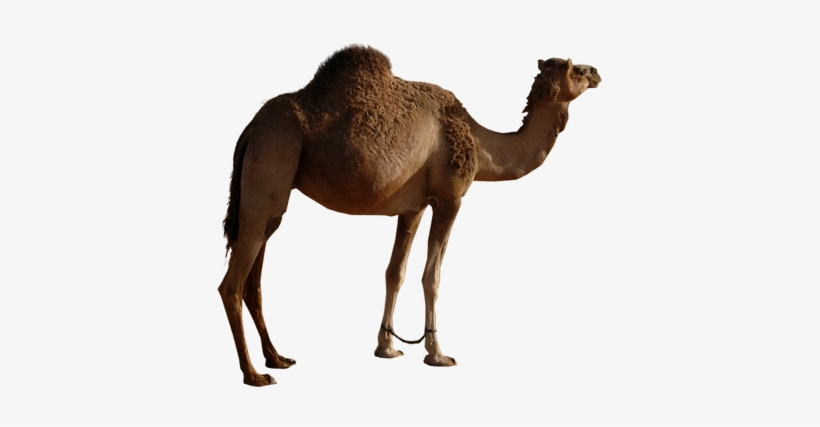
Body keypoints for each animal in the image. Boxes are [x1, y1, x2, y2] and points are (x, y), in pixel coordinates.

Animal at [218, 45, 600, 386]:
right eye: (578, 70)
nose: (597, 72)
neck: (480, 144)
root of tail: (250, 129)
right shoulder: (450, 198)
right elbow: (432, 276)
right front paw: (437, 353)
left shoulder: (413, 206)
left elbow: (395, 272)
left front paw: (386, 347)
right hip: (273, 154)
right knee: (232, 284)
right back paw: (253, 375)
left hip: (269, 188)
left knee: (255, 276)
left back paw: (277, 358)